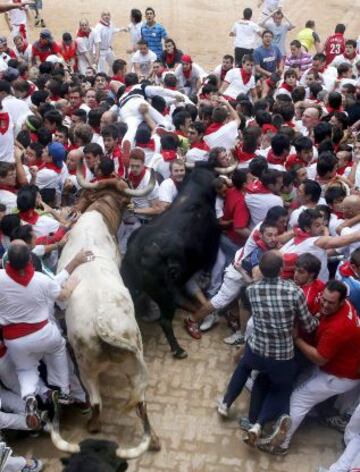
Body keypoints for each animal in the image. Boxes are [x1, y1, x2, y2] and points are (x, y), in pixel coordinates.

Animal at [50, 165, 159, 458]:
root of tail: (103, 325)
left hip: (86, 368)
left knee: (98, 405)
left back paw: (92, 424)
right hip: (134, 364)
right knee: (140, 402)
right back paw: (154, 440)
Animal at [122, 168, 221, 360]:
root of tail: (134, 256)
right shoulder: (213, 241)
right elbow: (209, 263)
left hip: (131, 287)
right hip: (165, 296)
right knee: (165, 321)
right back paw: (179, 350)